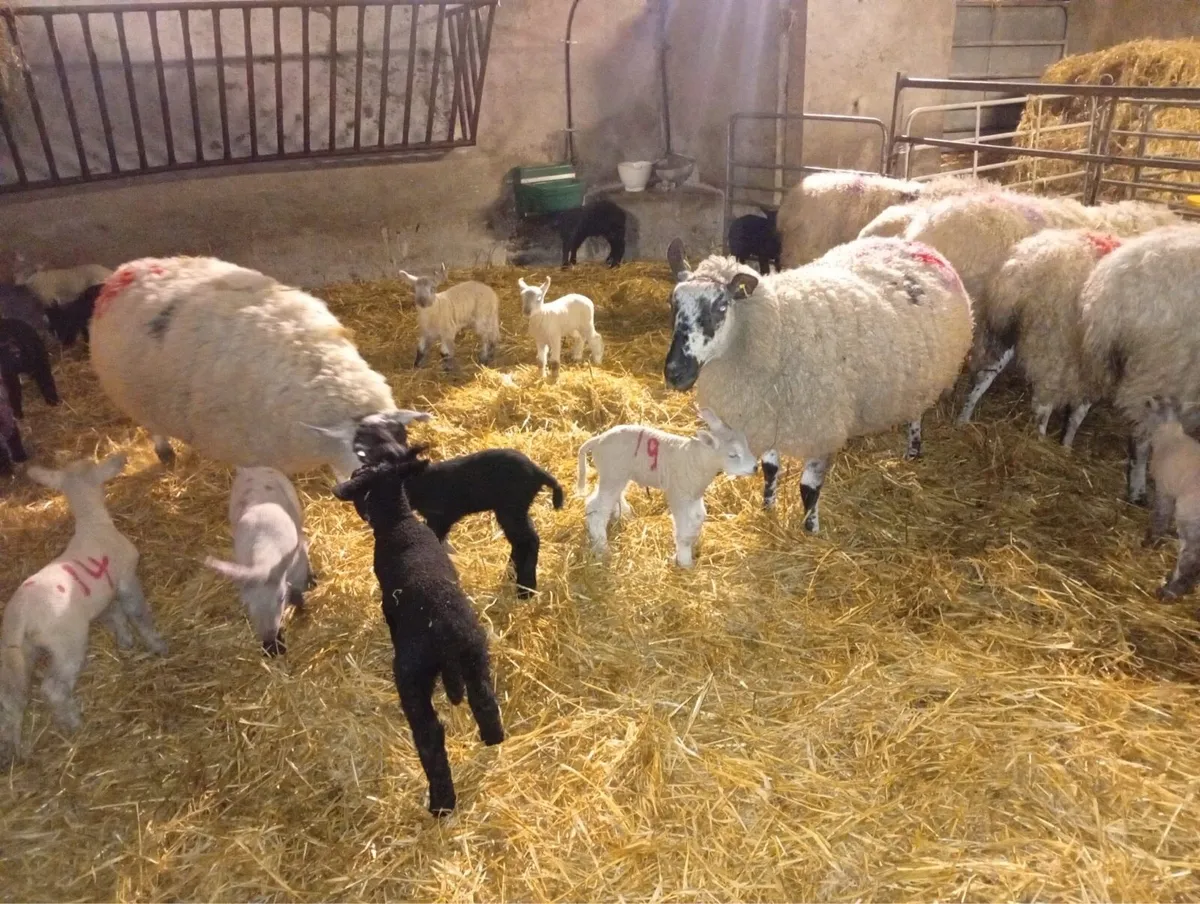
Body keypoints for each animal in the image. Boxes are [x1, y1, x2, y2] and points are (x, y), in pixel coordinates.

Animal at [0, 453, 168, 765]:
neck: (92, 523)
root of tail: (21, 616)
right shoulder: (126, 578)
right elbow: (138, 613)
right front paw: (157, 644)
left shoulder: (103, 596)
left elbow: (114, 616)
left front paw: (125, 641)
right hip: (68, 643)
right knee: (53, 688)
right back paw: (73, 722)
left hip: (19, 653)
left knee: (12, 699)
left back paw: (15, 748)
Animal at [203, 467, 314, 656]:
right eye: (247, 603)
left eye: (281, 598)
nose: (269, 636)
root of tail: (253, 468)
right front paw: (274, 647)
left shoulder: (297, 565)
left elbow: (299, 589)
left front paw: (302, 609)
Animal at [332, 446, 504, 816]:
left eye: (358, 478)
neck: (399, 520)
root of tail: (445, 634)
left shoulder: (387, 600)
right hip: (475, 655)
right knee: (484, 700)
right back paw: (493, 739)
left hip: (411, 676)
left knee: (430, 735)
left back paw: (441, 803)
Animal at [577, 408, 758, 568]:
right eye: (733, 455)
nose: (755, 467)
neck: (695, 458)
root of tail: (598, 440)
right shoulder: (678, 494)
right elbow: (684, 528)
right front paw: (685, 562)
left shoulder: (694, 493)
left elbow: (698, 518)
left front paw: (691, 547)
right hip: (613, 472)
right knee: (596, 508)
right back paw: (602, 548)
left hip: (616, 474)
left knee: (610, 497)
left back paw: (625, 515)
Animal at [663, 240, 972, 532]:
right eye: (673, 304)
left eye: (721, 307)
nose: (674, 372)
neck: (777, 330)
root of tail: (916, 245)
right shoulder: (769, 416)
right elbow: (770, 469)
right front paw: (767, 507)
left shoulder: (821, 428)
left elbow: (809, 488)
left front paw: (810, 528)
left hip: (927, 376)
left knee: (918, 412)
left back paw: (914, 448)